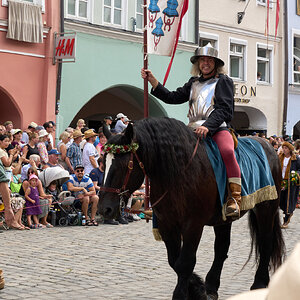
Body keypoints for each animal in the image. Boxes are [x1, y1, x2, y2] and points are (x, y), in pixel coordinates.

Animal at [99, 117, 284, 300]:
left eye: (124, 165)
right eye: (102, 162)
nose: (104, 209)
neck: (178, 171)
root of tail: (268, 145)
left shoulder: (193, 225)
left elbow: (185, 262)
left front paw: (183, 294)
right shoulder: (167, 224)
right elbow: (174, 261)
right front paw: (198, 288)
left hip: (266, 207)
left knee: (265, 242)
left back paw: (259, 284)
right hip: (224, 218)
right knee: (222, 247)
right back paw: (211, 287)